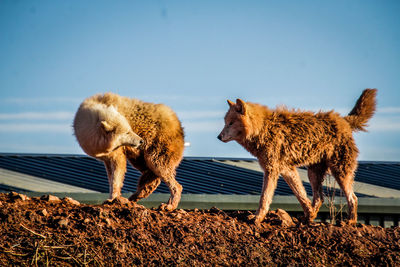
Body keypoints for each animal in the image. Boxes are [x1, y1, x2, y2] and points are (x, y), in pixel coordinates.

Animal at [217, 89, 376, 224]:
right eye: (225, 123)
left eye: (231, 123)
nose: (218, 137)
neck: (263, 129)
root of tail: (343, 120)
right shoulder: (287, 169)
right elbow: (301, 195)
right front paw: (310, 214)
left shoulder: (272, 171)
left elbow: (264, 198)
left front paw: (257, 218)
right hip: (313, 174)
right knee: (320, 198)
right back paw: (308, 219)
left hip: (340, 173)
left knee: (353, 198)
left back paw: (351, 222)